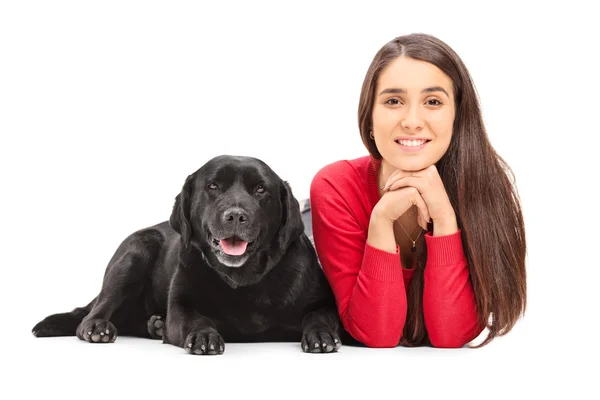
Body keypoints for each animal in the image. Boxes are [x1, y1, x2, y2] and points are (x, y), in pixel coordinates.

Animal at [32, 155, 342, 354]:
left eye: (260, 189)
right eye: (213, 186)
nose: (235, 216)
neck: (244, 281)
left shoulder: (324, 302)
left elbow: (319, 316)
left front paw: (321, 334)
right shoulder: (181, 306)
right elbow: (196, 319)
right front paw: (204, 336)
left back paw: (155, 325)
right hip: (135, 253)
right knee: (90, 315)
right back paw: (101, 326)